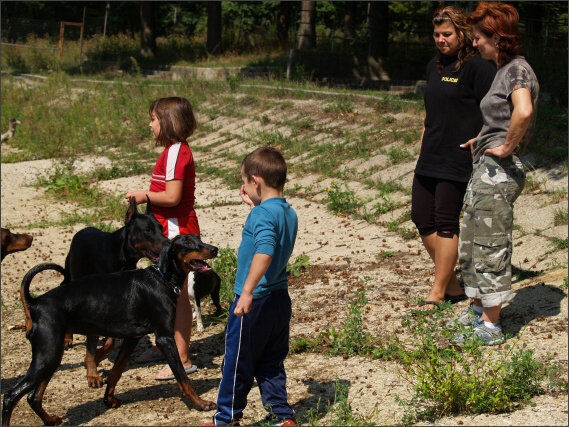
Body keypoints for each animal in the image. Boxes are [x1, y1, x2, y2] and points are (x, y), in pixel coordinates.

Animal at [1, 236, 217, 426]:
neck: (162, 279)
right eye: (187, 242)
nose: (214, 249)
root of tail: (35, 304)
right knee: (11, 396)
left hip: (51, 356)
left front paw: (108, 399)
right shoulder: (165, 339)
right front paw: (201, 404)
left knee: (33, 396)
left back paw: (50, 420)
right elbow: (183, 377)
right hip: (48, 356)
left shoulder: (132, 339)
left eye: (198, 238)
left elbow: (116, 372)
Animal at [64, 197, 168, 388]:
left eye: (161, 228)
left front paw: (94, 361)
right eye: (147, 230)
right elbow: (92, 344)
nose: (169, 243)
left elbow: (110, 342)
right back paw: (68, 338)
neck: (121, 257)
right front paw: (92, 373)